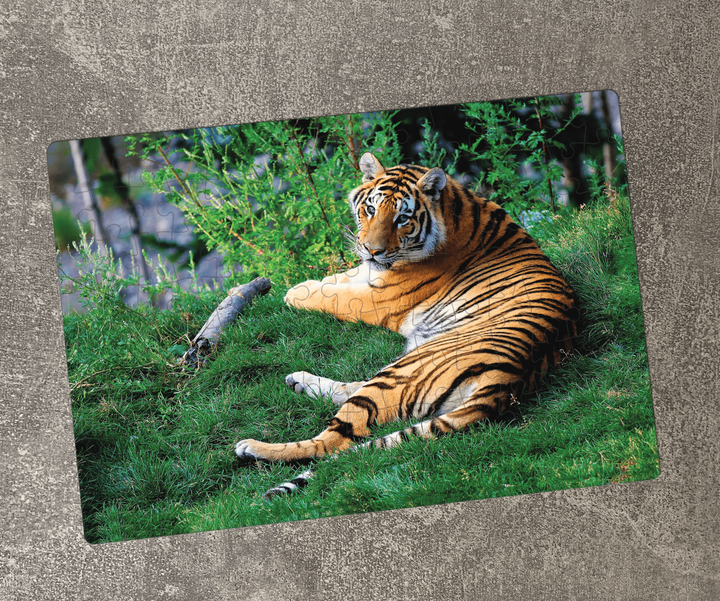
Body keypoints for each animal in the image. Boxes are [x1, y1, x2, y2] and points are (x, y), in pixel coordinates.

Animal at [235, 152, 579, 498]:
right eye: (371, 209)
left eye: (402, 218)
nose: (372, 251)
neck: (455, 208)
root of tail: (507, 382)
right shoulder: (369, 273)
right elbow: (339, 279)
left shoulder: (379, 299)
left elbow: (334, 297)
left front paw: (294, 292)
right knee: (355, 393)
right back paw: (299, 381)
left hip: (403, 369)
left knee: (333, 441)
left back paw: (252, 447)